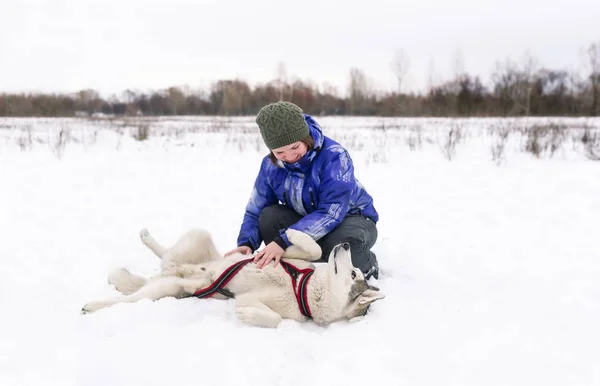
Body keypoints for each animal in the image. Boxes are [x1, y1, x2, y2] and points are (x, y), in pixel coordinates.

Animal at [81, 228, 384, 328]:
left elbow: (274, 319)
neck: (303, 286)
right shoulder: (293, 257)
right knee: (165, 253)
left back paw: (94, 305)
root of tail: (174, 271)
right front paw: (294, 233)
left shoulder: (254, 302)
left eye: (355, 272)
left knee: (132, 298)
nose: (344, 245)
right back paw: (147, 239)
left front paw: (247, 316)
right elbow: (314, 248)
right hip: (197, 236)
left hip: (169, 286)